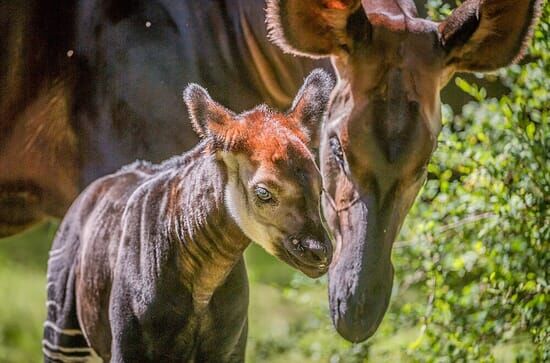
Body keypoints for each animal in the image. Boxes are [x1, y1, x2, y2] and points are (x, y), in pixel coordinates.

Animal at [43, 69, 334, 362]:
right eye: (263, 192)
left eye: (321, 186)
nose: (320, 253)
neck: (204, 282)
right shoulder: (126, 350)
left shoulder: (229, 351)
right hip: (63, 334)